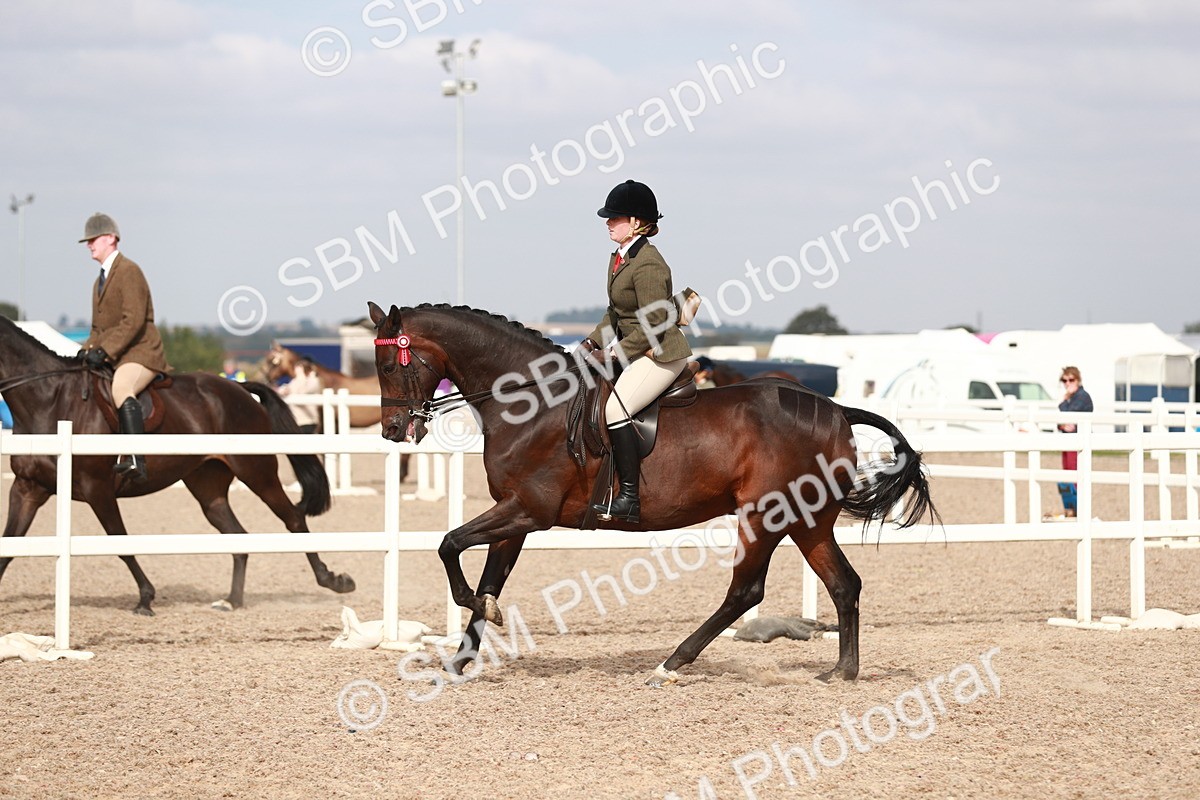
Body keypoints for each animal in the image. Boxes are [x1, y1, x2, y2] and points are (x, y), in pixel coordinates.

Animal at [0, 316, 355, 615]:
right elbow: (8, 546)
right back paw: (232, 600)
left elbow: (120, 542)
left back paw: (333, 580)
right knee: (238, 535)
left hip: (256, 472)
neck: (50, 399)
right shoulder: (28, 489)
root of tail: (238, 387)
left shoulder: (96, 488)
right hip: (207, 486)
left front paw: (146, 598)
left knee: (293, 518)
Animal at [367, 302, 938, 686]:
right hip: (806, 519)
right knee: (843, 583)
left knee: (745, 592)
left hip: (766, 516)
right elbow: (489, 576)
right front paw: (462, 657)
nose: (393, 431)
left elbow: (449, 544)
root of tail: (837, 409)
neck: (533, 404)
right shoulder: (515, 515)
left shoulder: (528, 509)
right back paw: (842, 671)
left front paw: (477, 613)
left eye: (392, 365)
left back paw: (671, 663)